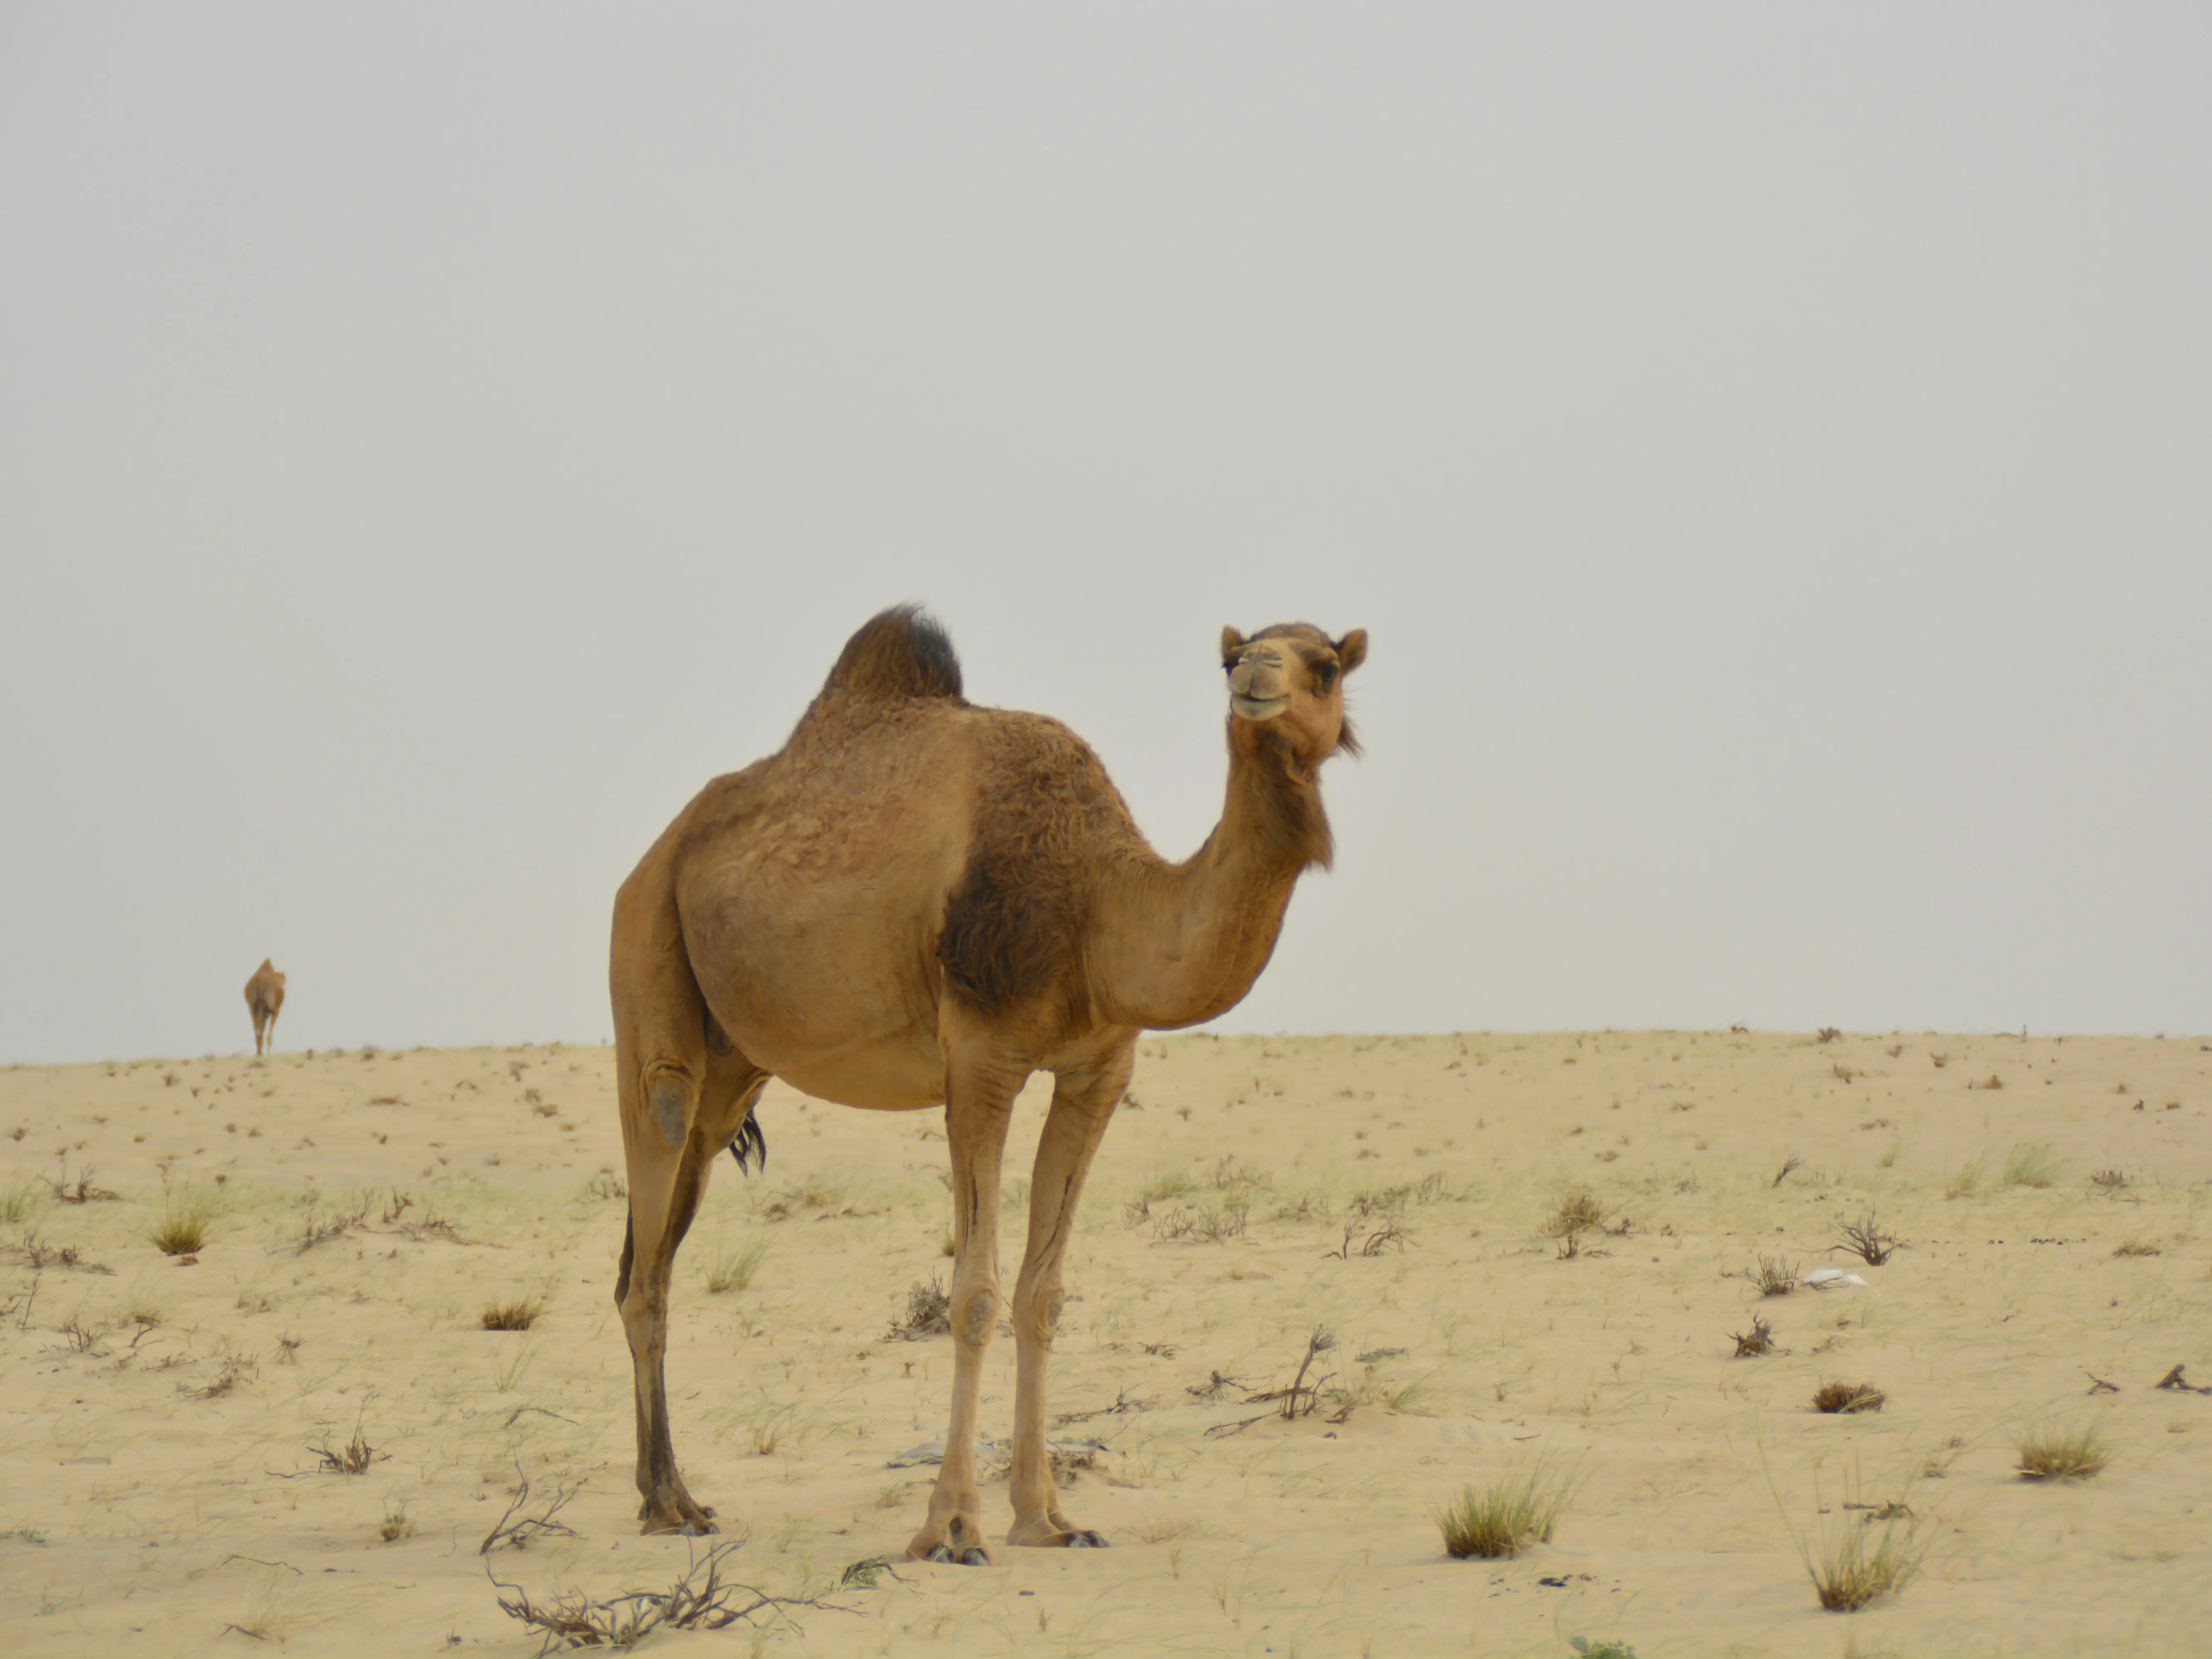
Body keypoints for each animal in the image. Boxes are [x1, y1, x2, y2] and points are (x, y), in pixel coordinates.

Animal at [244, 959, 286, 1057]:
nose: (284, 982)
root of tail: (260, 984)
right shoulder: (274, 1011)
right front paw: (269, 1055)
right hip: (268, 1008)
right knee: (263, 1029)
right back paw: (263, 1054)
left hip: (253, 1008)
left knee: (257, 1027)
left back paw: (259, 1053)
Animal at [609, 607, 1366, 1558]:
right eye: (1230, 657)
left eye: (1327, 664)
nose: (1255, 674)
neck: (1098, 906)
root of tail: (652, 857)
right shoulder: (980, 1057)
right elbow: (973, 1290)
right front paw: (950, 1525)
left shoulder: (1097, 1069)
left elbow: (1043, 1292)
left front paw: (1046, 1517)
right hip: (647, 962)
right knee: (650, 1207)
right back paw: (666, 1503)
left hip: (733, 1069)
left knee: (656, 1247)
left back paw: (668, 1490)